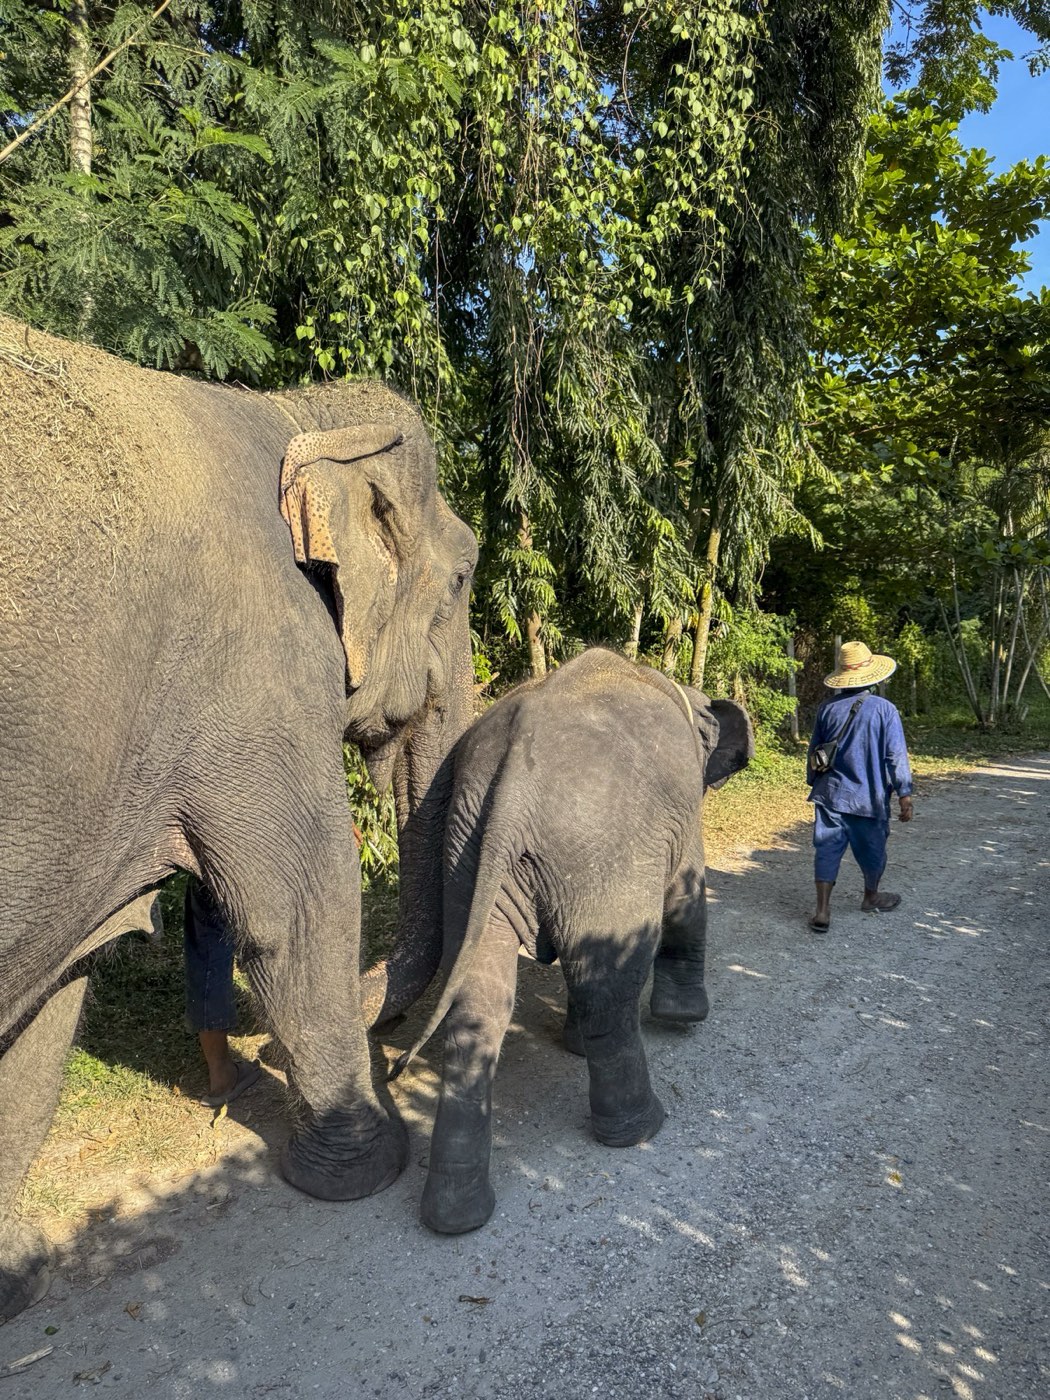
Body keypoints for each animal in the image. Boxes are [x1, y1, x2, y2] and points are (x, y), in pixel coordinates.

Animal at [0, 316, 476, 1323]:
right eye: (462, 581)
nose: (394, 1049)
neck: (296, 414)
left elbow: (54, 1005)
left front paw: (15, 1281)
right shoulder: (257, 669)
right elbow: (300, 906)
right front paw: (364, 1170)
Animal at [391, 647, 754, 1235]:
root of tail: (512, 782)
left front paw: (572, 1045)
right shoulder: (680, 817)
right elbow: (686, 895)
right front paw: (683, 1020)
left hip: (467, 850)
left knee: (482, 1002)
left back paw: (456, 1216)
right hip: (602, 849)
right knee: (605, 986)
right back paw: (640, 1131)